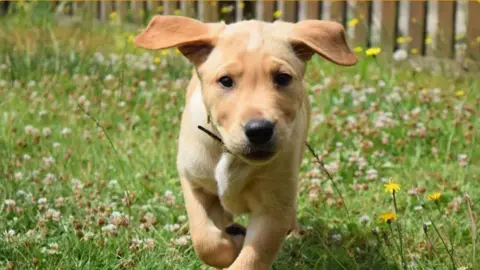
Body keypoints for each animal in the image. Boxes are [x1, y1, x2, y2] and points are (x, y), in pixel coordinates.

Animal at [135, 15, 356, 270]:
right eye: (225, 81)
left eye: (283, 78)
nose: (259, 130)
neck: (229, 153)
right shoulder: (194, 183)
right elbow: (206, 240)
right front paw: (231, 242)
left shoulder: (272, 211)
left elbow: (250, 260)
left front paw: (238, 244)